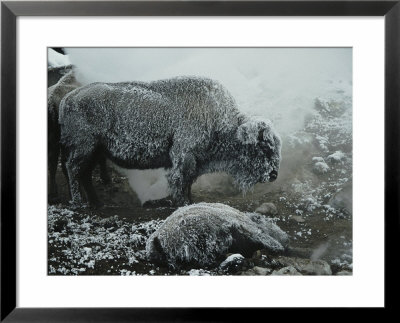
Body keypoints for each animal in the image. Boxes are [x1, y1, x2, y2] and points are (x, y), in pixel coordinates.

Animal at [58, 76, 282, 208]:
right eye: (262, 147)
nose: (273, 174)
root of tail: (68, 98)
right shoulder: (183, 156)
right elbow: (180, 182)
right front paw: (183, 204)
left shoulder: (193, 163)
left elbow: (187, 183)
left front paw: (190, 202)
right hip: (84, 147)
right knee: (73, 169)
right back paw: (79, 203)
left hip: (95, 151)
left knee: (84, 173)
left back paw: (96, 203)